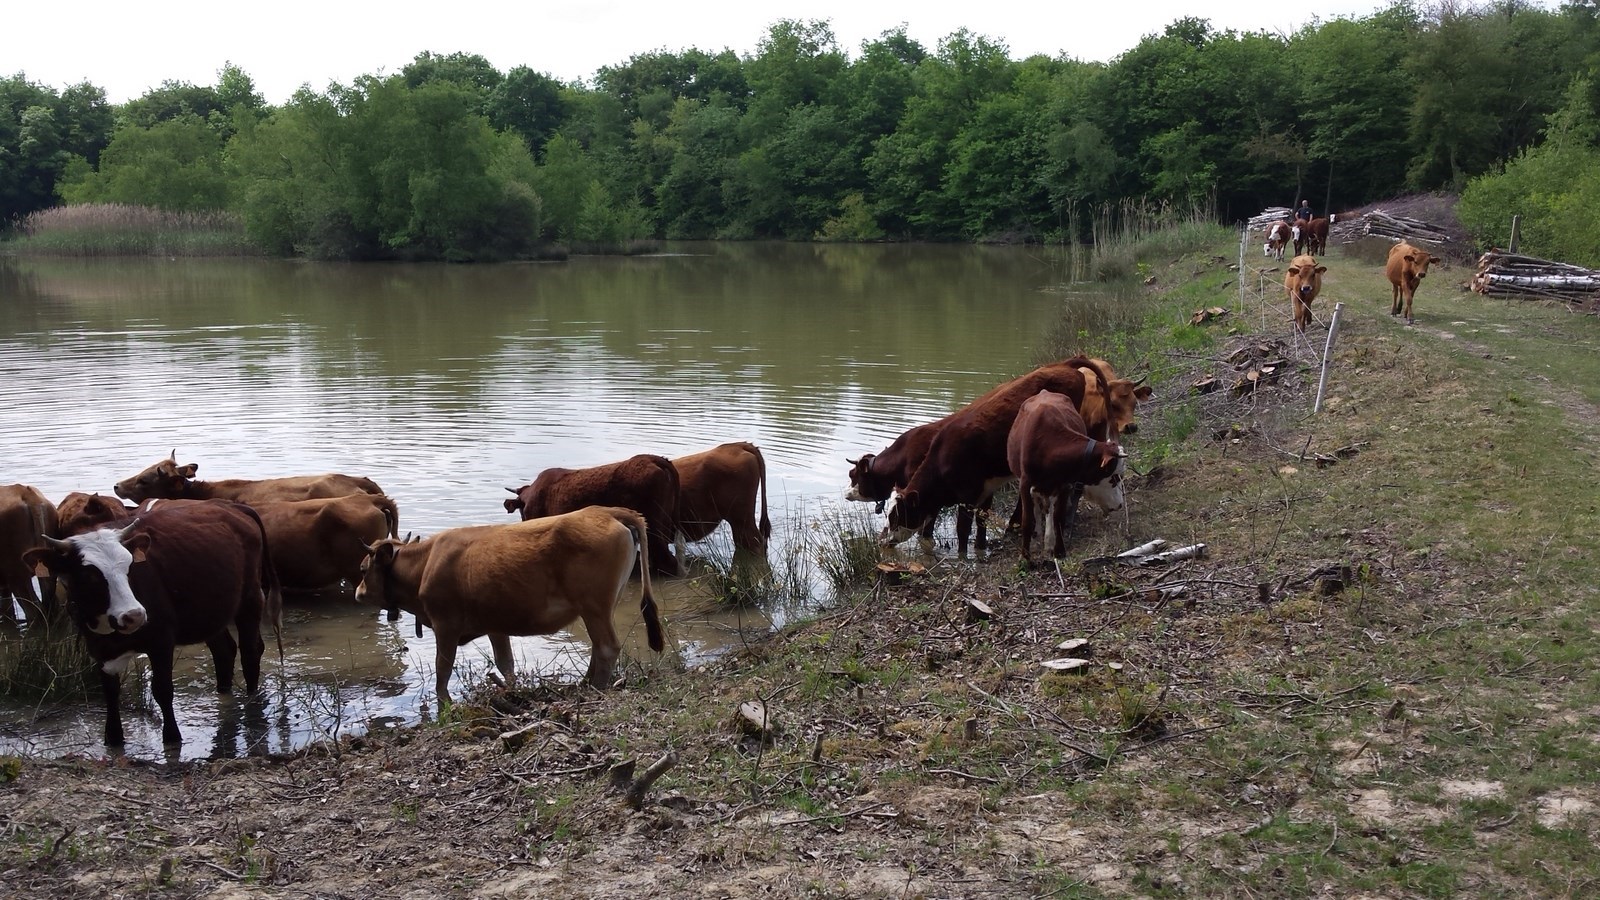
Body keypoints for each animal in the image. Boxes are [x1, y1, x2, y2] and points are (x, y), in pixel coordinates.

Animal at [24, 496, 281, 743]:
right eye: (89, 576)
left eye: (129, 566)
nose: (134, 615)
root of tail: (232, 506)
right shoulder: (98, 648)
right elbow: (110, 692)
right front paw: (113, 738)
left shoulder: (161, 640)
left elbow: (162, 690)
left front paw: (172, 737)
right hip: (211, 611)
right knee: (224, 651)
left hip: (250, 599)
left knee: (250, 652)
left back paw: (252, 704)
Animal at [355, 506, 662, 701]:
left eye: (362, 568)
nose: (358, 593)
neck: (425, 563)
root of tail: (606, 510)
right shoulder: (495, 625)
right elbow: (506, 664)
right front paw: (511, 691)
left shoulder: (446, 625)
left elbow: (442, 668)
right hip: (601, 607)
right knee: (598, 647)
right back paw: (584, 683)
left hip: (594, 606)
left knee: (607, 647)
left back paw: (595, 687)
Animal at [1004, 390, 1132, 563]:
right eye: (1115, 477)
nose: (1119, 504)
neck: (1049, 445)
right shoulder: (1024, 483)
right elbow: (1027, 520)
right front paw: (1025, 557)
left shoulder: (1064, 485)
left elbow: (1059, 517)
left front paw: (1059, 551)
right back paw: (1038, 536)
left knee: (1049, 507)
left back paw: (1048, 541)